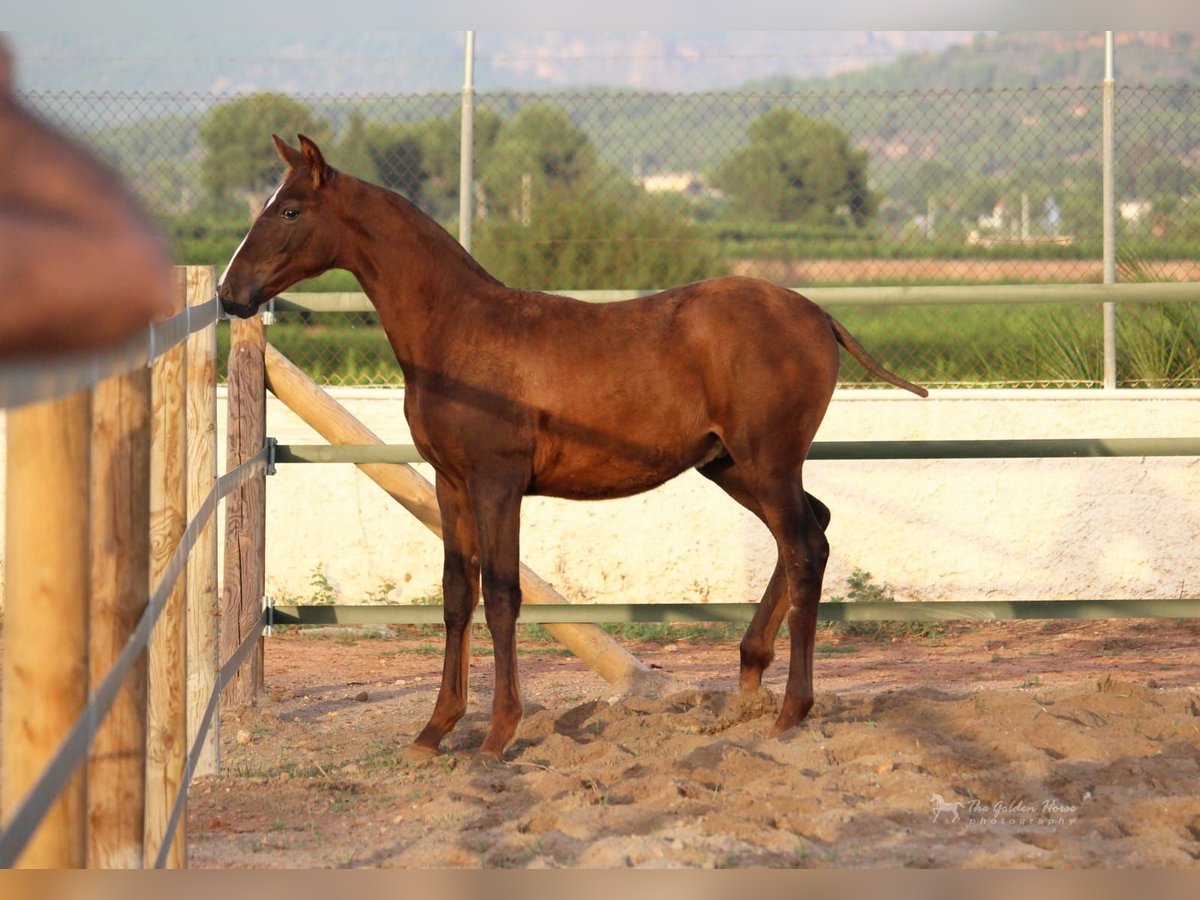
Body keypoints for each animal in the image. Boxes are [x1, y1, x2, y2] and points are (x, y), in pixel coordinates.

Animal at [218, 133, 926, 763]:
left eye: (289, 210)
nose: (230, 293)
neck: (458, 328)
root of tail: (819, 316)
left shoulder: (498, 484)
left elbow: (503, 595)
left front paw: (497, 735)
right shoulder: (452, 484)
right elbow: (457, 595)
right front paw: (434, 730)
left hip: (766, 461)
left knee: (805, 546)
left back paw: (790, 712)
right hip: (731, 466)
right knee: (812, 530)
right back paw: (750, 677)